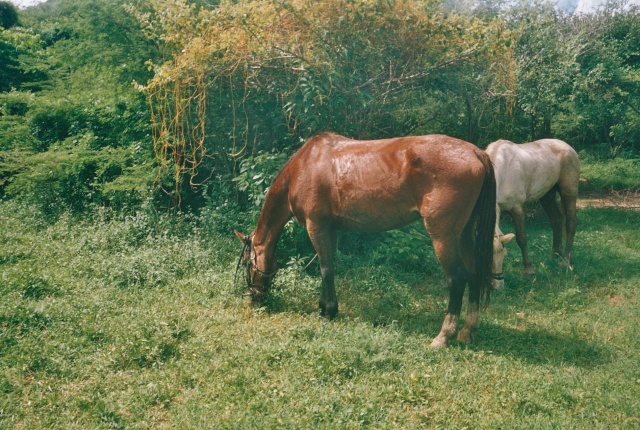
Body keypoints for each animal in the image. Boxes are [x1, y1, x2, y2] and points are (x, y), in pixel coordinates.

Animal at [238, 133, 498, 348]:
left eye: (247, 264)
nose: (251, 299)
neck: (305, 166)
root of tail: (476, 152)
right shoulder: (330, 228)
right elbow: (330, 267)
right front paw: (326, 307)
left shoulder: (317, 225)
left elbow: (325, 268)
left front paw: (328, 311)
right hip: (464, 233)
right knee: (474, 273)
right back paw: (467, 331)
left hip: (443, 236)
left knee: (457, 279)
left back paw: (444, 335)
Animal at [484, 139, 580, 278]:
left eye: (504, 256)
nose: (495, 282)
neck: (503, 170)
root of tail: (568, 147)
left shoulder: (517, 208)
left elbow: (521, 239)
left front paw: (528, 269)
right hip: (547, 195)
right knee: (556, 220)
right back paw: (555, 255)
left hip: (569, 192)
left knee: (571, 223)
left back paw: (565, 261)